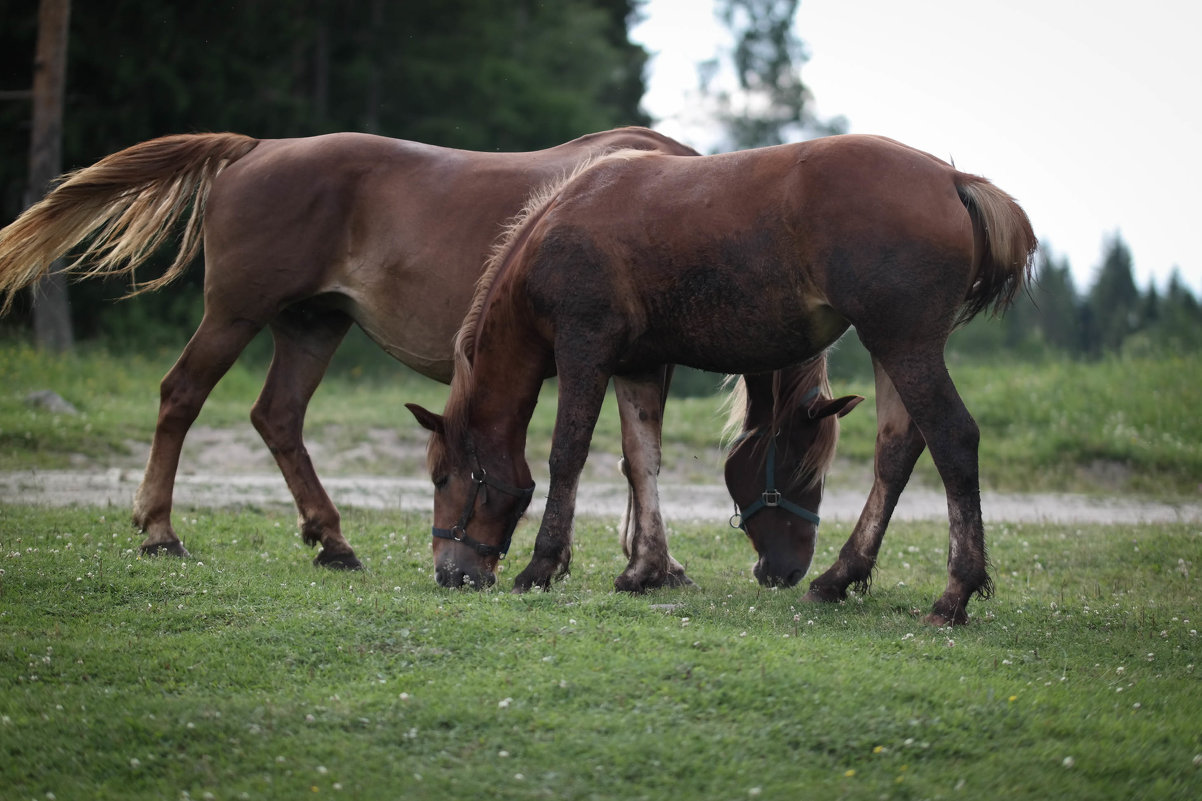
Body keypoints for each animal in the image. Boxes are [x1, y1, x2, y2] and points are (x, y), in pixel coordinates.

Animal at [0, 125, 701, 565]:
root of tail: (255, 149)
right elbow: (631, 455)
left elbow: (637, 454)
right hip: (234, 315)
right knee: (182, 396)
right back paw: (159, 531)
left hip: (311, 326)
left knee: (277, 416)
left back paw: (333, 540)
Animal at [408, 135, 1038, 625]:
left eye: (442, 479)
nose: (450, 575)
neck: (562, 220)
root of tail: (953, 179)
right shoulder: (638, 367)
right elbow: (642, 458)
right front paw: (644, 569)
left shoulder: (584, 350)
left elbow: (569, 453)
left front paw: (543, 565)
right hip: (892, 348)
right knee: (898, 449)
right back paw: (838, 577)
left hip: (904, 345)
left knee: (953, 438)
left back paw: (954, 594)